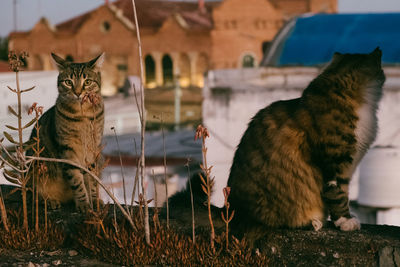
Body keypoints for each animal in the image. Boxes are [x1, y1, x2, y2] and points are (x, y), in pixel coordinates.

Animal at [26, 52, 104, 214]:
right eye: (68, 82)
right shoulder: (68, 150)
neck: (83, 115)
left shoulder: (93, 149)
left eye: (87, 82)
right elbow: (77, 181)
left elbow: (92, 180)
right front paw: (83, 204)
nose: (78, 93)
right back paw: (50, 201)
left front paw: (94, 200)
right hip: (36, 170)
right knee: (34, 196)